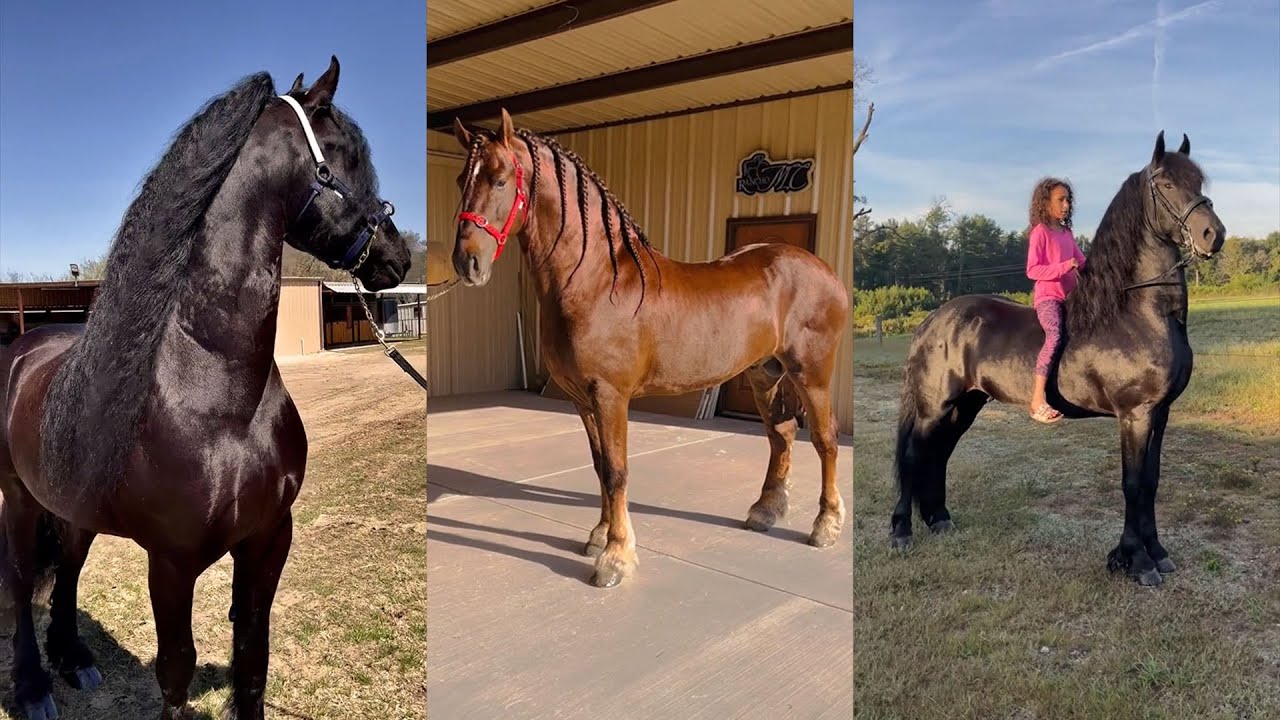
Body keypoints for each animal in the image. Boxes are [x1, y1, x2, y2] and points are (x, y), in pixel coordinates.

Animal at [0, 57, 410, 719]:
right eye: (347, 155)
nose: (395, 257)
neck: (216, 396)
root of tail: (22, 347)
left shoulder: (268, 539)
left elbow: (253, 658)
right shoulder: (171, 561)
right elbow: (175, 670)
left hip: (71, 509)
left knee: (68, 571)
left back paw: (76, 659)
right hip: (17, 498)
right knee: (18, 583)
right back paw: (35, 689)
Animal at [447, 109, 850, 589]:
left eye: (500, 179)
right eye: (461, 180)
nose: (467, 262)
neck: (595, 280)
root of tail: (826, 272)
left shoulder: (610, 396)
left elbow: (617, 471)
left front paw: (615, 557)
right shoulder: (582, 399)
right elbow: (600, 466)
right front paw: (599, 536)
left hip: (813, 374)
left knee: (825, 440)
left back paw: (826, 526)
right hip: (765, 373)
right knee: (781, 435)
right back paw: (764, 511)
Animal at [888, 132, 1225, 586]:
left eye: (1198, 180)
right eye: (1167, 184)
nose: (1213, 234)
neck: (1139, 313)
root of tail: (931, 321)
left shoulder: (1161, 413)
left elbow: (1151, 482)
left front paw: (1157, 553)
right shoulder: (1135, 414)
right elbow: (1133, 484)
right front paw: (1136, 562)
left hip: (966, 405)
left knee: (938, 455)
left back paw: (939, 519)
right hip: (933, 408)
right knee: (913, 457)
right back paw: (902, 531)